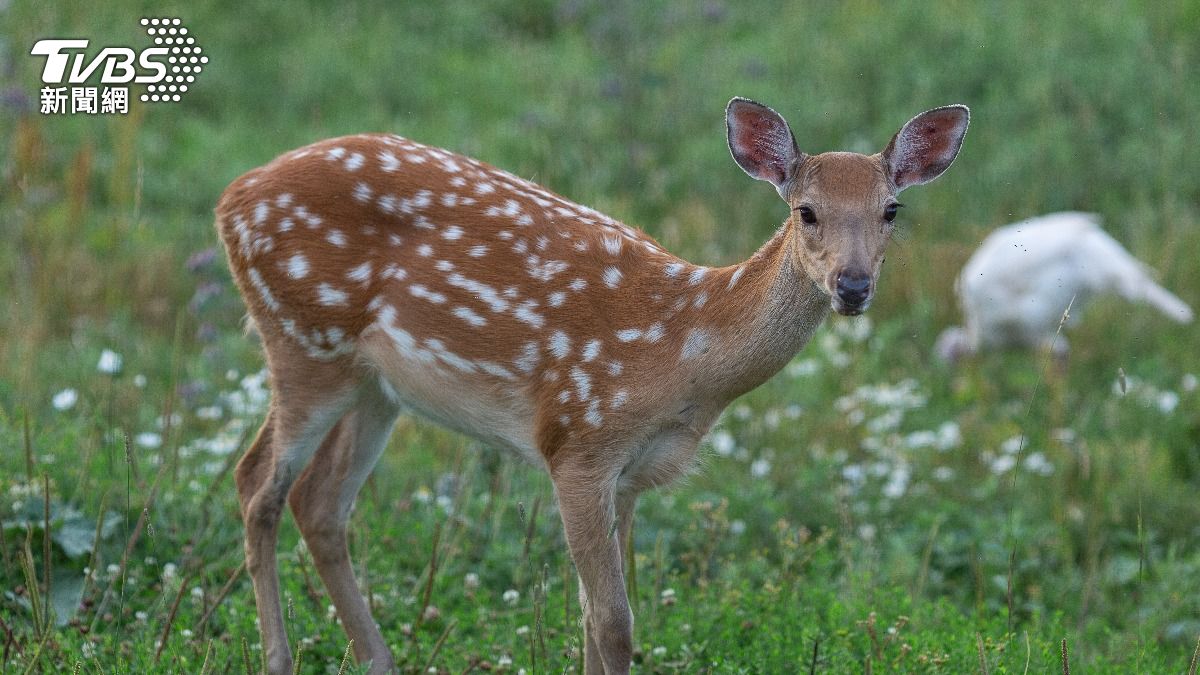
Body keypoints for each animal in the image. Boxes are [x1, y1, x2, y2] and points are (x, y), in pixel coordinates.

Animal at [213, 97, 964, 667]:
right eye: (805, 210)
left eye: (892, 210)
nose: (853, 286)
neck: (684, 353)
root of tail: (232, 196)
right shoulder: (575, 442)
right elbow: (613, 624)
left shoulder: (630, 474)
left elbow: (594, 619)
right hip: (302, 339)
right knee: (257, 484)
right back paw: (278, 658)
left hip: (374, 386)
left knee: (320, 502)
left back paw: (378, 659)